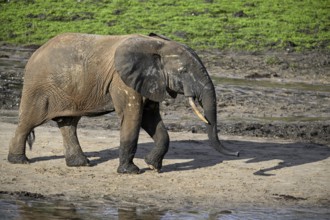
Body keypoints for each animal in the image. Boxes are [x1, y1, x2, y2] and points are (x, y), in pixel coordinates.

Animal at [7, 32, 238, 174]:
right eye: (183, 71)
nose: (236, 153)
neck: (157, 45)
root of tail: (36, 52)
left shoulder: (149, 80)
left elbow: (151, 120)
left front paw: (153, 166)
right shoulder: (123, 81)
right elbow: (133, 117)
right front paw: (131, 172)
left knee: (68, 123)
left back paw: (81, 164)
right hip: (39, 88)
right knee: (29, 121)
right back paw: (19, 161)